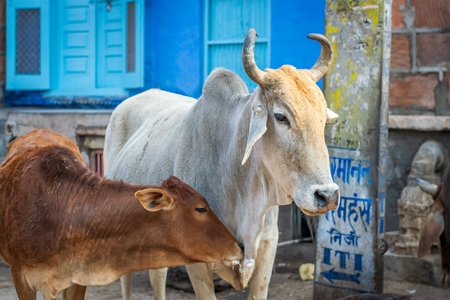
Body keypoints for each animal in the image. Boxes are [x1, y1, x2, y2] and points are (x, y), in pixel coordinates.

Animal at [103, 28, 340, 300]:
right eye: (280, 116)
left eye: (323, 118)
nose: (327, 195)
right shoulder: (197, 263)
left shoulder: (267, 247)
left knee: (158, 275)